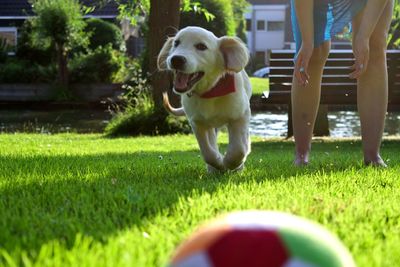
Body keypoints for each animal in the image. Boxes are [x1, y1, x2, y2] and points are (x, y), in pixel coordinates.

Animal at [158, 26, 252, 174]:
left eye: (201, 46)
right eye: (176, 43)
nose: (176, 59)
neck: (210, 91)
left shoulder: (240, 116)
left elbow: (239, 149)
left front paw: (232, 164)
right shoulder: (198, 123)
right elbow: (208, 152)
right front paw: (218, 163)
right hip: (211, 126)